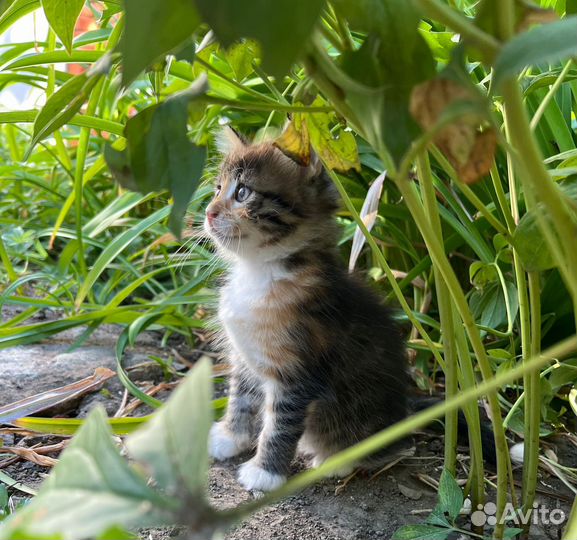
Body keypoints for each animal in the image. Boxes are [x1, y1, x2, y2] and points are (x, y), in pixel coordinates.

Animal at [205, 129, 408, 492]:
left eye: (242, 193)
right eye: (217, 189)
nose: (208, 212)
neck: (258, 271)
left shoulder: (298, 371)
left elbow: (279, 424)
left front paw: (264, 472)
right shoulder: (245, 356)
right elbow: (240, 396)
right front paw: (229, 437)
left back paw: (335, 460)